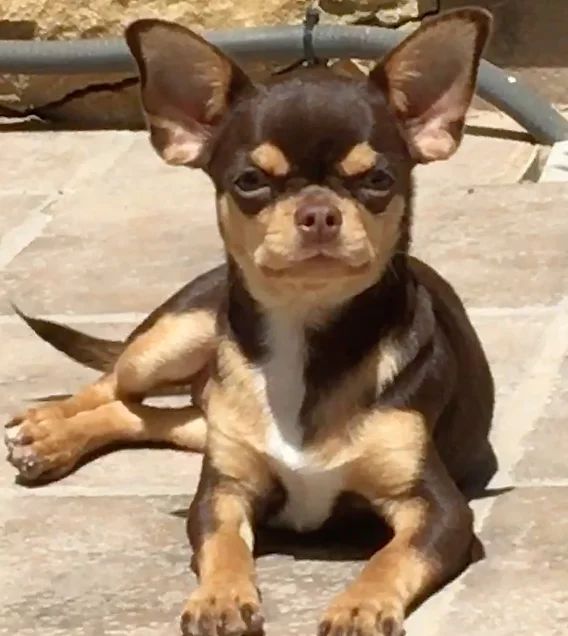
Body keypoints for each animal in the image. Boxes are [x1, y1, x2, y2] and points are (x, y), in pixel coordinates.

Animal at [5, 8, 497, 636]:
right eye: (249, 182)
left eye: (378, 181)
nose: (318, 212)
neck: (304, 334)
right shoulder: (224, 490)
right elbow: (223, 544)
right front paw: (221, 596)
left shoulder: (438, 509)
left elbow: (389, 557)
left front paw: (360, 604)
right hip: (173, 341)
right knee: (115, 384)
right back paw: (47, 428)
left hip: (204, 401)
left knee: (158, 418)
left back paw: (55, 441)